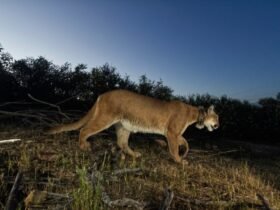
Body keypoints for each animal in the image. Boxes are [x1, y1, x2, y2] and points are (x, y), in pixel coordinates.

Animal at [47, 89, 219, 163]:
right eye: (217, 117)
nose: (218, 125)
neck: (195, 114)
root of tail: (102, 94)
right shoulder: (171, 132)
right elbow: (174, 148)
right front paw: (179, 160)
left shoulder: (175, 133)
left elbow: (185, 142)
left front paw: (184, 153)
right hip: (105, 118)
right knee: (84, 129)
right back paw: (84, 146)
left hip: (124, 126)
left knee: (122, 142)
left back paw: (134, 154)